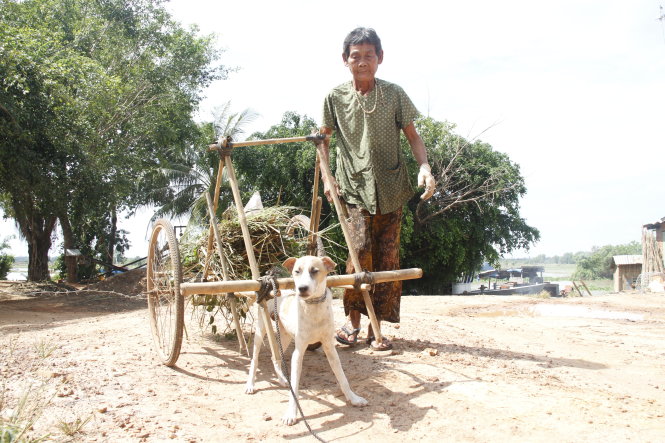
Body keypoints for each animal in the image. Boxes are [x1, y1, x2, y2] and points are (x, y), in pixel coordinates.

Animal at [245, 256, 368, 426]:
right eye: (297, 271)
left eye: (314, 271)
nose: (301, 288)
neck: (313, 305)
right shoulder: (298, 352)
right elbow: (295, 387)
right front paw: (291, 414)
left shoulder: (330, 348)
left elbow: (343, 378)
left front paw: (353, 398)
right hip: (261, 329)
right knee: (255, 359)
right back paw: (250, 384)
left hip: (285, 336)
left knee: (274, 357)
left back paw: (282, 379)